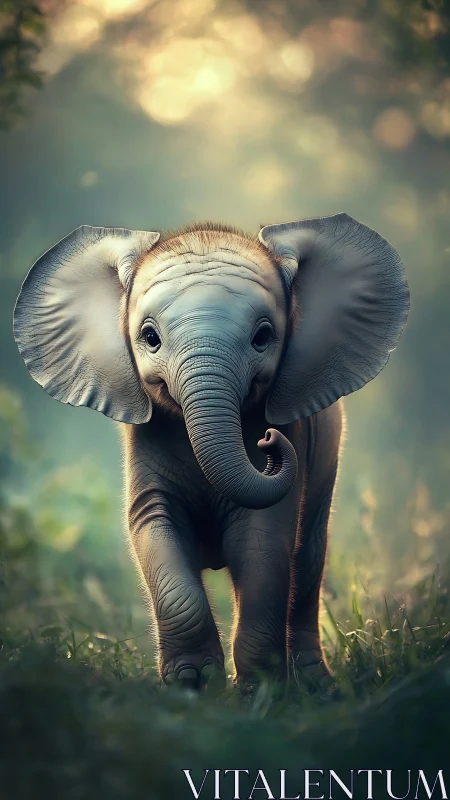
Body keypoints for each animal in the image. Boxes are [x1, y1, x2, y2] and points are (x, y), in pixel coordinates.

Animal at [13, 214, 409, 692]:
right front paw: (194, 684)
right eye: (149, 337)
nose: (268, 441)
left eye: (263, 337)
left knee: (308, 558)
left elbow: (263, 542)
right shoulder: (148, 442)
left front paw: (260, 690)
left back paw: (315, 685)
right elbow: (155, 526)